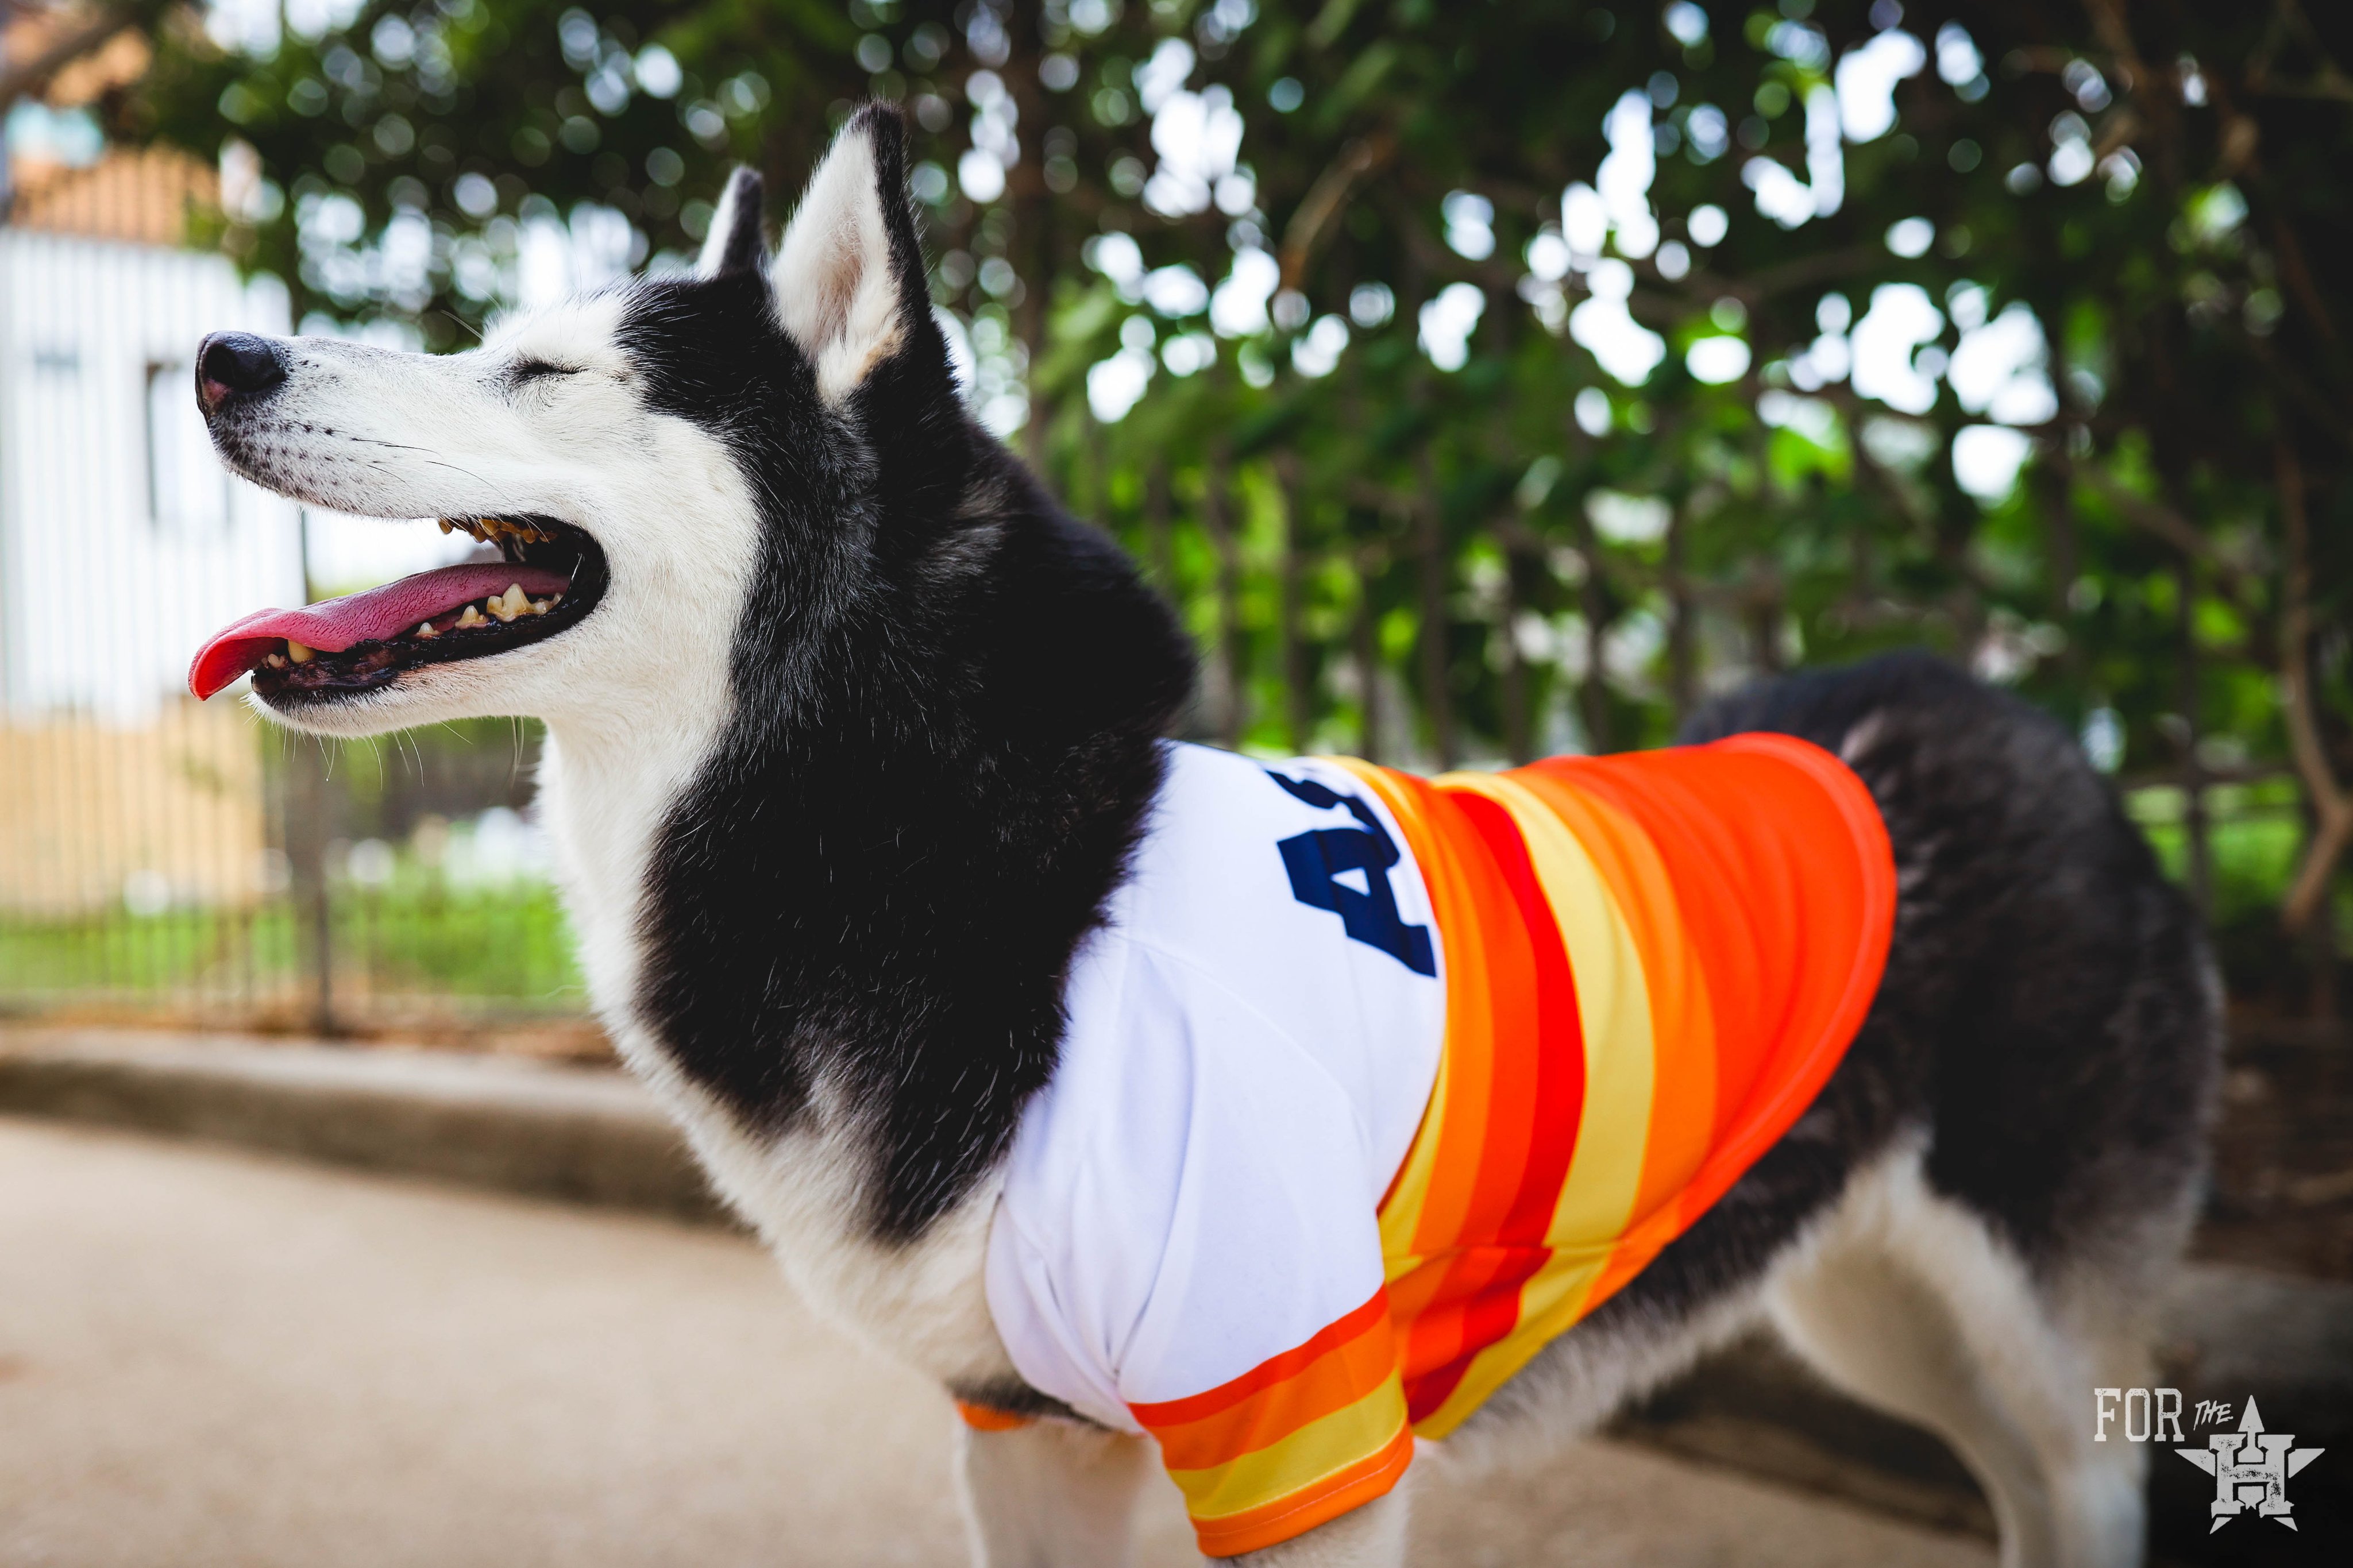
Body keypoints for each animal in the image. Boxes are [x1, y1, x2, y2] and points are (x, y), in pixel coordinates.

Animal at [192, 110, 2212, 1568]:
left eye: (540, 372)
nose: (217, 354)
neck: (958, 850)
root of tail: (2016, 705)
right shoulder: (1029, 1441)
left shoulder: (1301, 1437)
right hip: (1870, 1308)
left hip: (2024, 1326)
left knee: (2086, 1488)